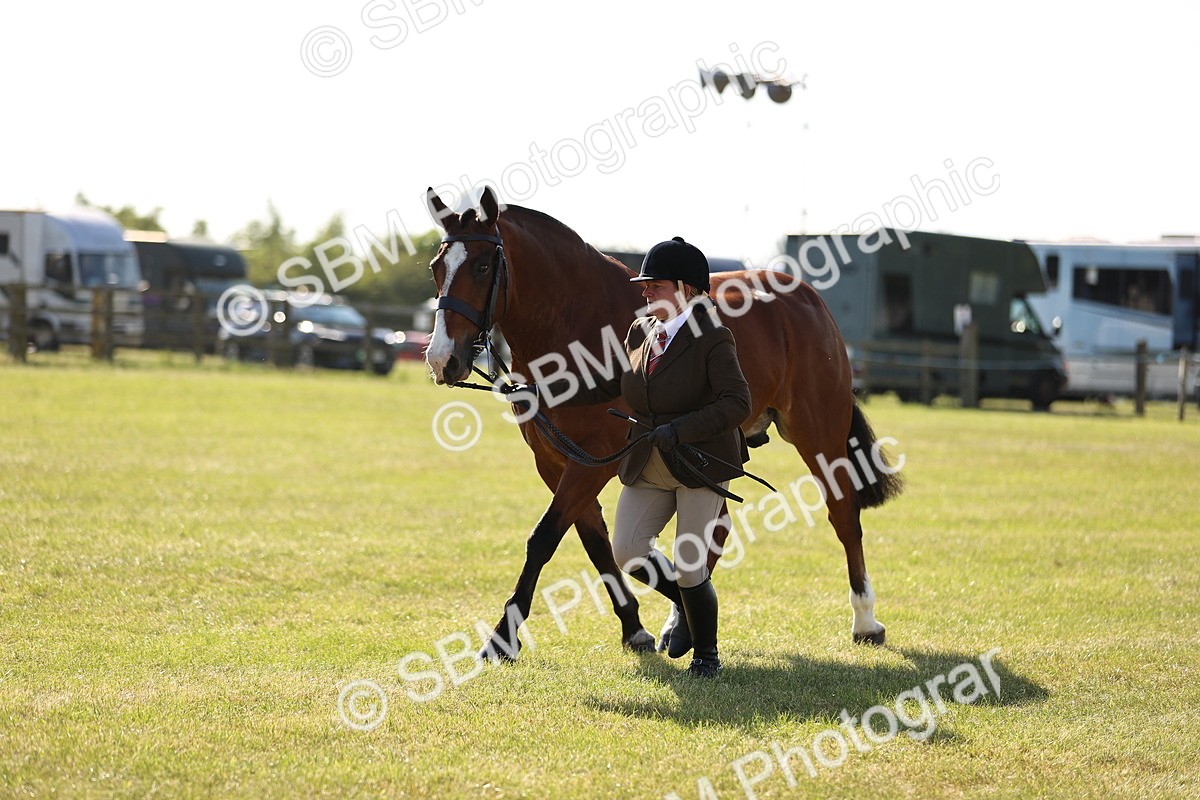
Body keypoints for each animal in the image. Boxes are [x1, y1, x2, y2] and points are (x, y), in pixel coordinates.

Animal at [423, 186, 903, 661]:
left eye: (483, 266)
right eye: (435, 268)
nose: (443, 360)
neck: (576, 327)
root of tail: (806, 296)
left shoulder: (593, 463)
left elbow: (544, 538)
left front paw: (502, 638)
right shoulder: (556, 463)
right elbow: (597, 543)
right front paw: (635, 628)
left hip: (817, 433)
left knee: (843, 513)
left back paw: (865, 621)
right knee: (714, 531)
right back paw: (681, 623)